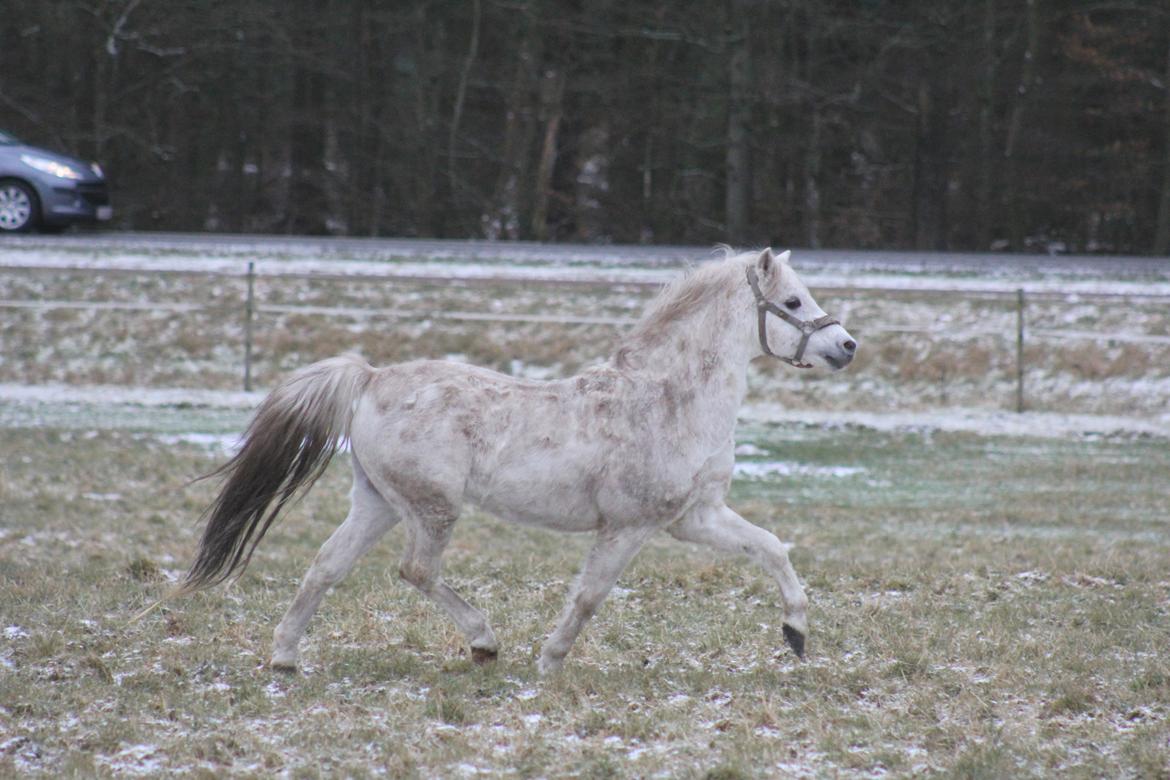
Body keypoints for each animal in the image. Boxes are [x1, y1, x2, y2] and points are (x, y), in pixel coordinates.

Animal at [175, 249, 851, 673]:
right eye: (793, 301)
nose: (845, 346)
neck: (667, 398)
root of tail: (369, 377)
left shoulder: (695, 518)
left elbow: (772, 548)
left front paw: (796, 634)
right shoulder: (628, 527)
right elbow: (589, 598)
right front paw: (551, 661)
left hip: (378, 503)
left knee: (324, 568)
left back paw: (285, 657)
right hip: (431, 508)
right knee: (416, 571)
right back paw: (484, 643)